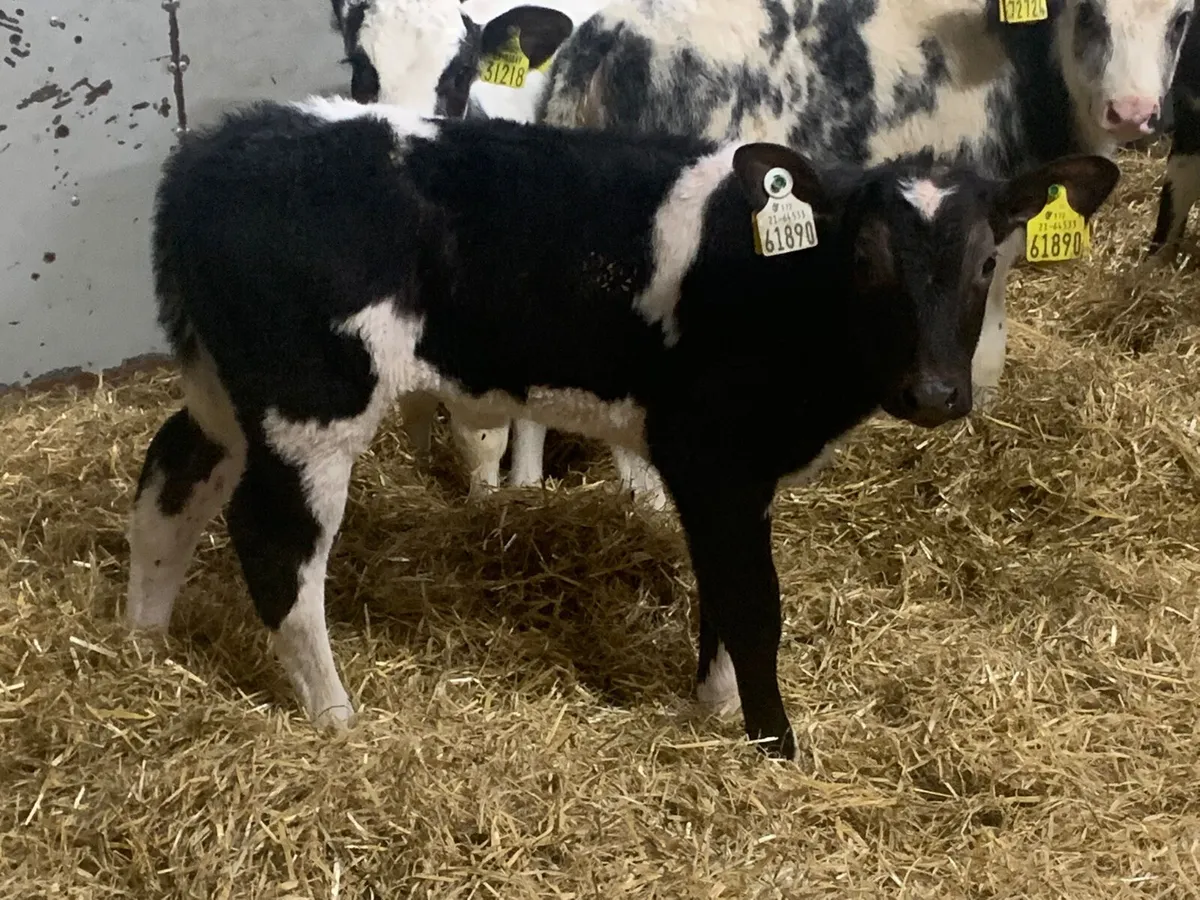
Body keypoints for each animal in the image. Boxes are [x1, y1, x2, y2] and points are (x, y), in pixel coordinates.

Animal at [124, 94, 1119, 758]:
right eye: (867, 259)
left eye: (988, 260)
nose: (934, 392)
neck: (782, 287)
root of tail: (222, 143)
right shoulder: (713, 452)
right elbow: (753, 603)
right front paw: (772, 742)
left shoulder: (736, 473)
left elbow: (722, 591)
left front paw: (711, 708)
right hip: (310, 403)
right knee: (277, 545)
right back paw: (332, 712)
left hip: (225, 389)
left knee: (172, 477)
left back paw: (145, 639)